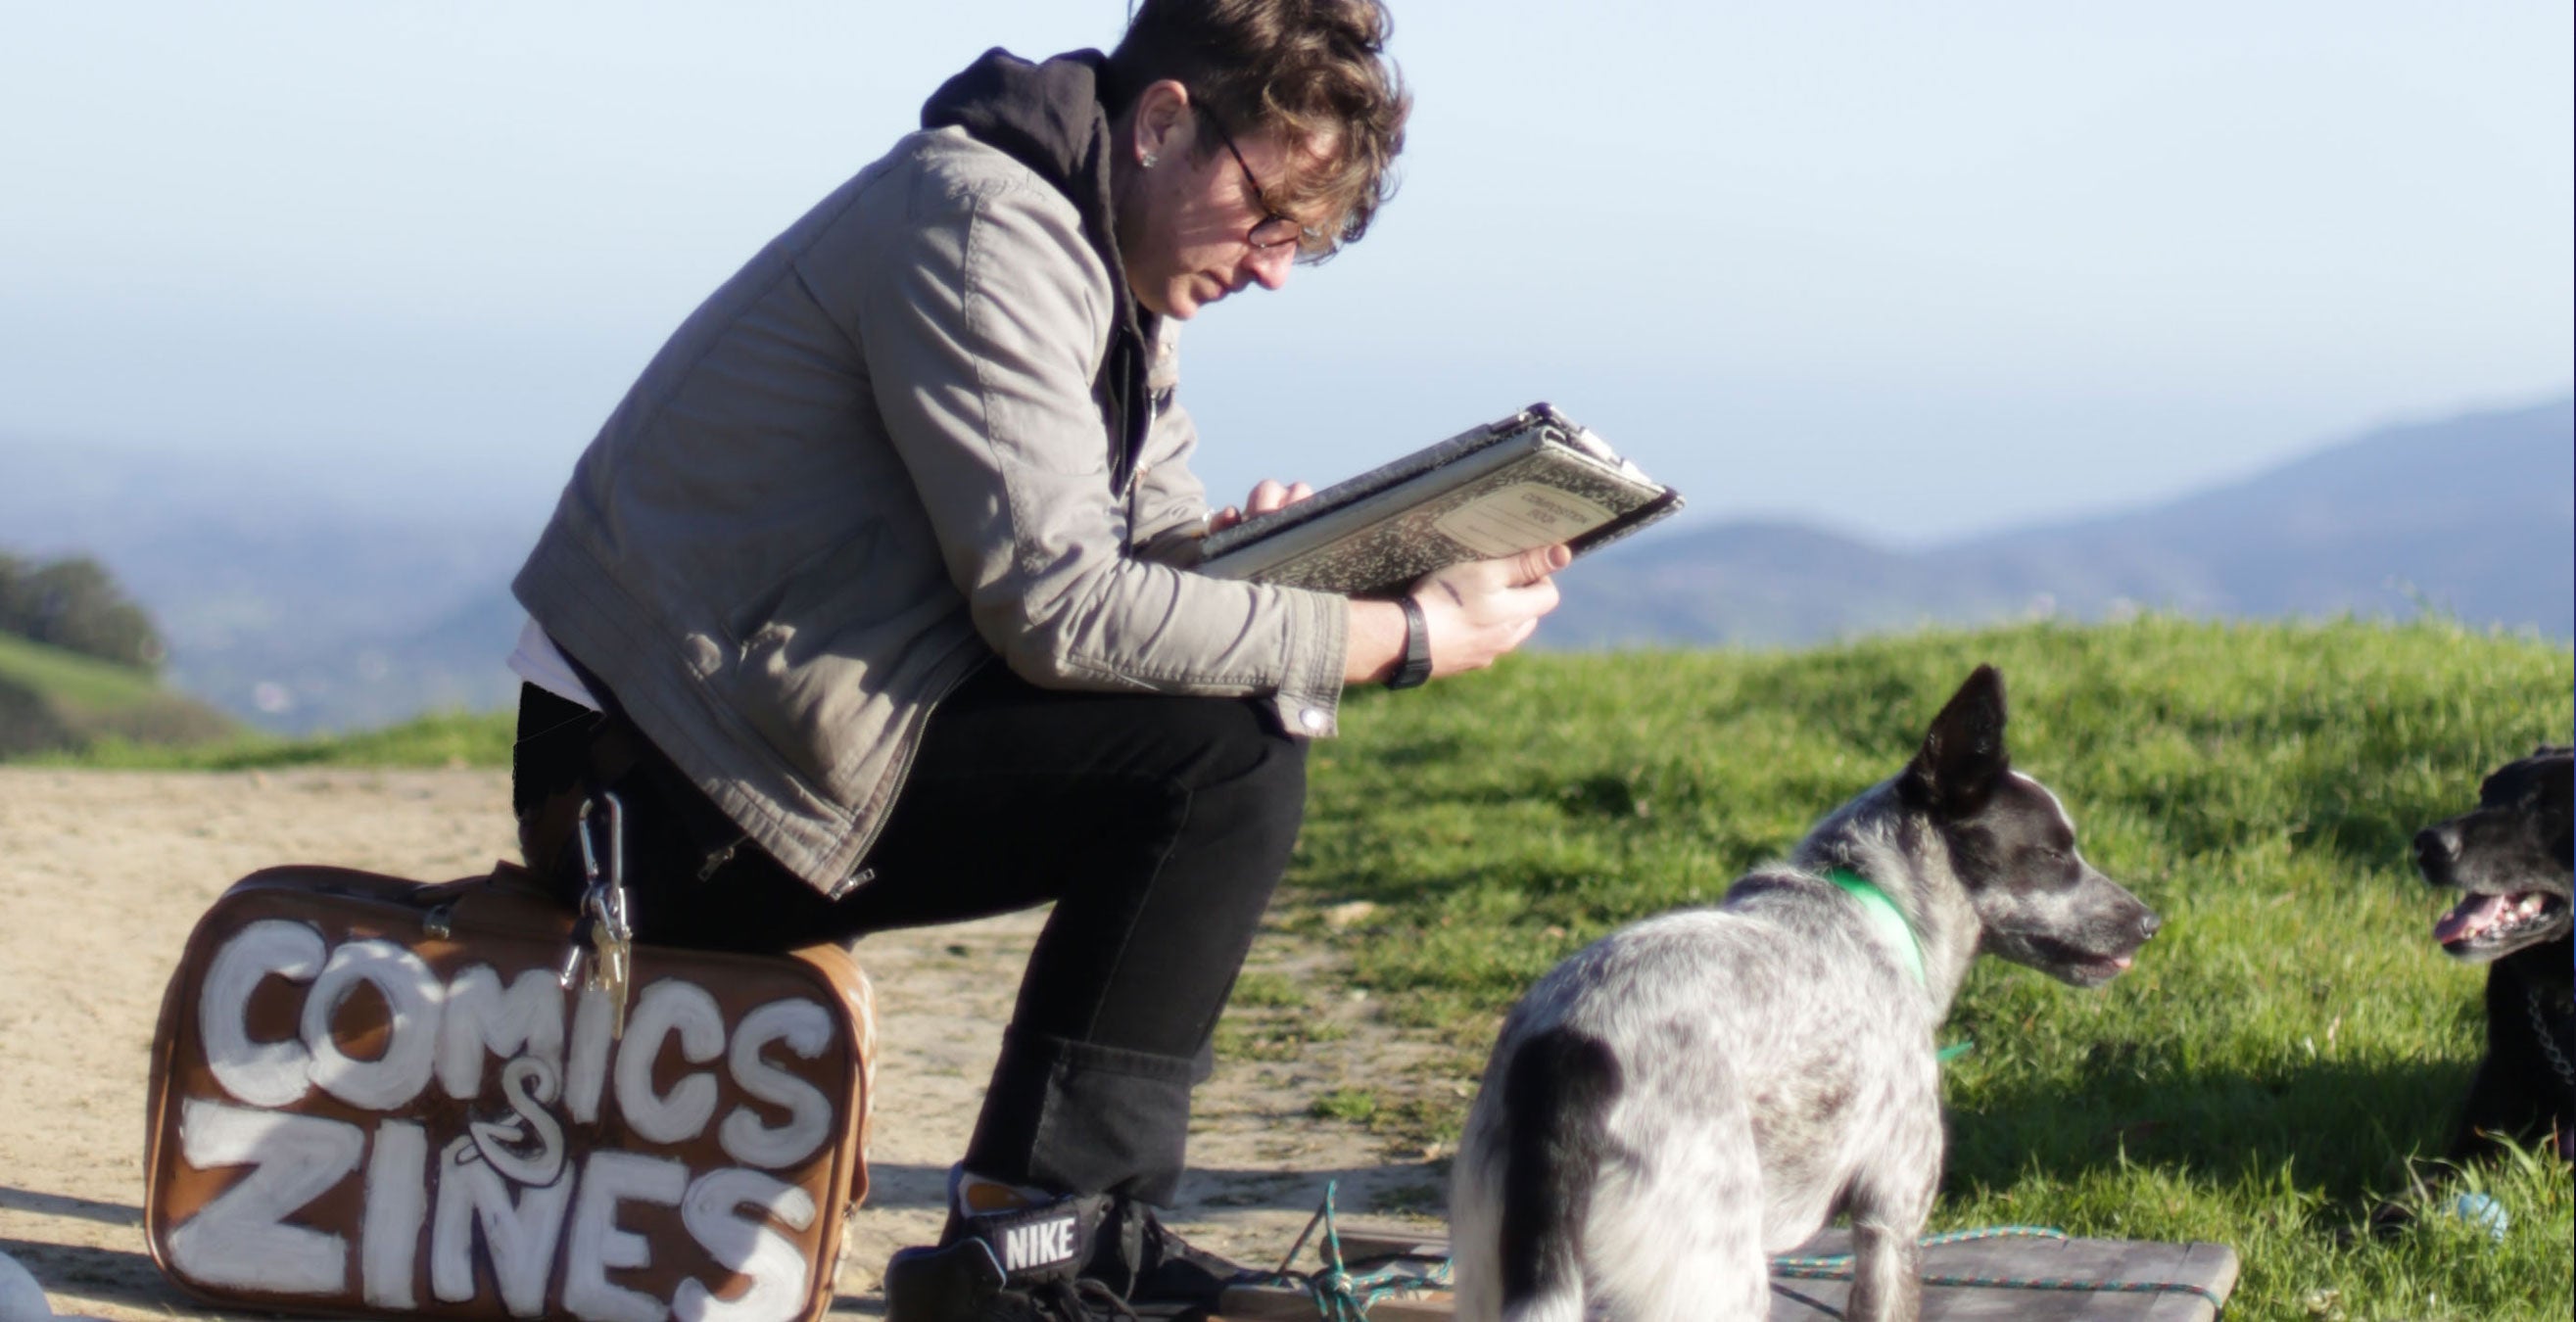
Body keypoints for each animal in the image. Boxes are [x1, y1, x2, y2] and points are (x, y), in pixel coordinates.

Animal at [1453, 670, 2153, 1319]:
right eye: (2053, 854)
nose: (2152, 923)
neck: (1873, 905)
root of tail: (1571, 1048)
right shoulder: (1890, 1219)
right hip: (1723, 1277)